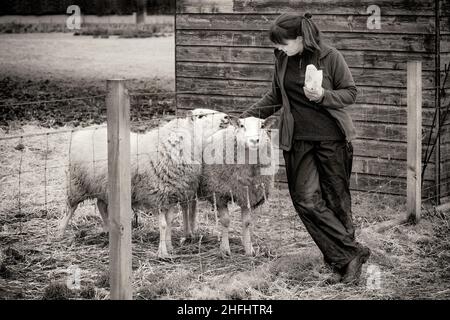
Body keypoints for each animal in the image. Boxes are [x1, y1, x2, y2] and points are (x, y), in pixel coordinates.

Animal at [58, 109, 229, 258]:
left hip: (102, 186)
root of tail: (83, 131)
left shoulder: (170, 195)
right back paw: (60, 232)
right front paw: (162, 253)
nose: (227, 117)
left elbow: (169, 222)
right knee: (70, 208)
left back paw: (107, 229)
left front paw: (170, 247)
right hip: (77, 183)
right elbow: (163, 225)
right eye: (201, 116)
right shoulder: (157, 195)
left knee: (100, 204)